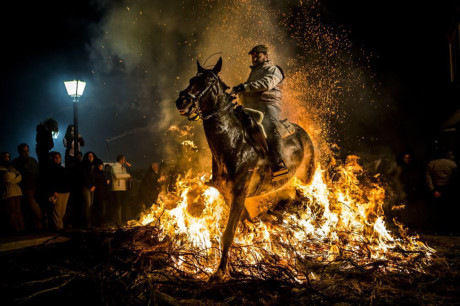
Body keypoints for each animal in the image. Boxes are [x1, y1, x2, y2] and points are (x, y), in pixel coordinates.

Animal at [174, 57, 314, 280]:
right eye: (191, 79)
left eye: (208, 81)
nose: (182, 101)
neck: (233, 142)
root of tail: (302, 132)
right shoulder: (227, 194)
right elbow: (245, 225)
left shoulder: (240, 192)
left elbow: (229, 233)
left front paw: (220, 272)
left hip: (307, 176)